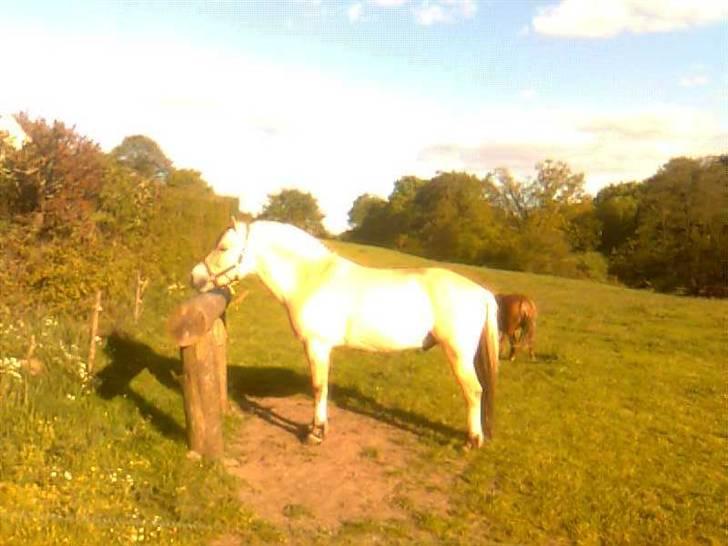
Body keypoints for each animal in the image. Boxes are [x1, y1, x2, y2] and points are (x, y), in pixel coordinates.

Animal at [189, 217, 500, 446]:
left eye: (223, 248)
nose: (195, 277)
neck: (311, 278)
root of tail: (482, 293)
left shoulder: (316, 346)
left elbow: (318, 387)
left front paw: (316, 432)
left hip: (458, 354)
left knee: (473, 391)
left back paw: (472, 441)